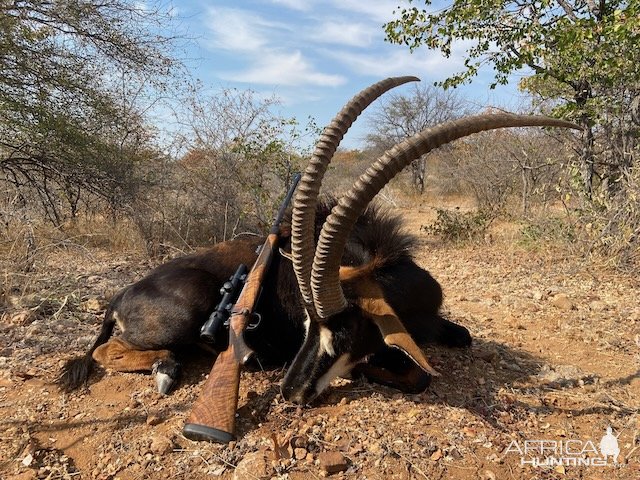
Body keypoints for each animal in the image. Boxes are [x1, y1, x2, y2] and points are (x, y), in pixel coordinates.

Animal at [60, 77, 576, 404]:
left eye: (342, 332)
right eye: (307, 324)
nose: (289, 393)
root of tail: (120, 295)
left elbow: (461, 337)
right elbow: (414, 374)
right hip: (186, 310)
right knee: (109, 351)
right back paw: (166, 369)